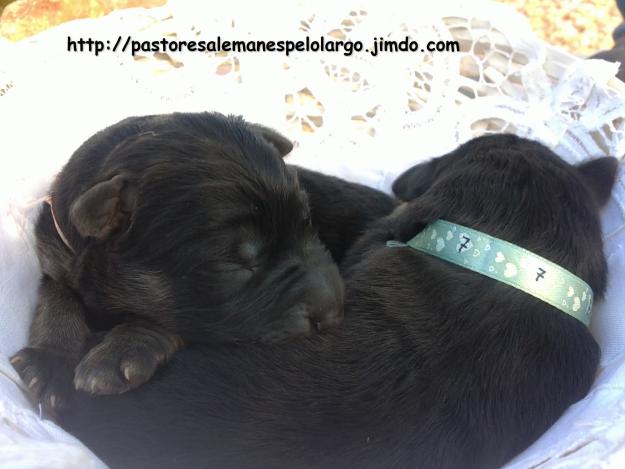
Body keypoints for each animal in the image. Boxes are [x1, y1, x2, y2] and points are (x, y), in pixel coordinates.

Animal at [11, 113, 380, 414]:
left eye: (308, 222)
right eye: (235, 262)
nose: (334, 314)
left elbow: (172, 320)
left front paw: (120, 352)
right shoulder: (56, 251)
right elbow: (57, 299)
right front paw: (50, 361)